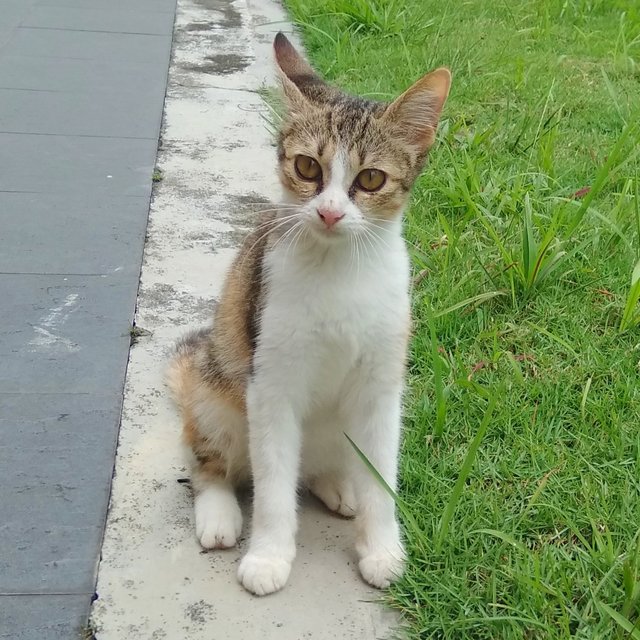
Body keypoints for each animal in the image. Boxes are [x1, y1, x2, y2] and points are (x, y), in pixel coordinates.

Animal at [168, 32, 452, 596]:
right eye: (307, 168)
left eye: (371, 178)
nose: (329, 212)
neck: (338, 270)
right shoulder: (270, 382)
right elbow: (274, 484)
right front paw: (269, 556)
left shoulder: (382, 386)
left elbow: (381, 474)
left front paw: (381, 547)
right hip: (214, 389)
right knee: (209, 463)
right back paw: (219, 514)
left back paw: (338, 486)